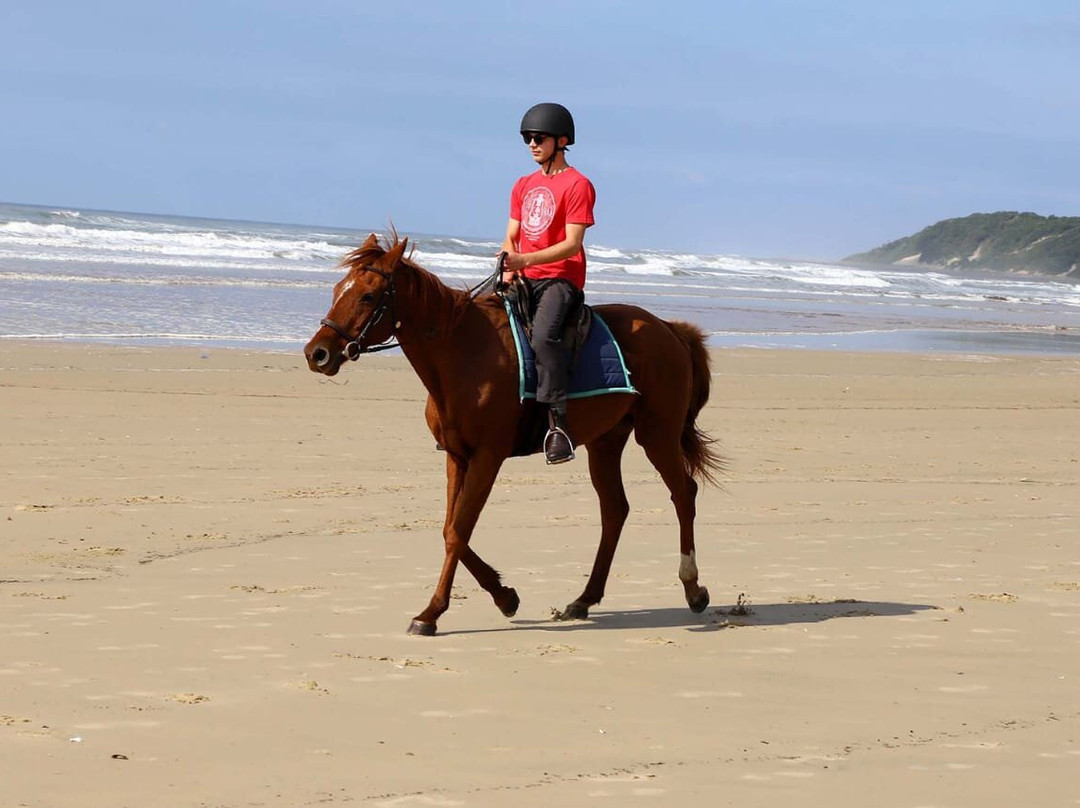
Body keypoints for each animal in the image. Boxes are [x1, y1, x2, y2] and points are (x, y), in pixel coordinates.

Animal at [303, 234, 723, 636]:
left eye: (368, 295)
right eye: (338, 288)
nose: (317, 353)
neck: (463, 353)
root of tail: (669, 329)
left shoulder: (487, 457)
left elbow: (458, 531)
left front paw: (431, 614)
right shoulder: (456, 456)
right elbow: (450, 528)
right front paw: (504, 596)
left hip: (658, 433)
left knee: (683, 493)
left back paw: (693, 588)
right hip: (605, 442)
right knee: (615, 509)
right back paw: (584, 599)